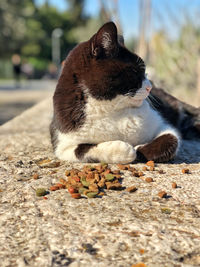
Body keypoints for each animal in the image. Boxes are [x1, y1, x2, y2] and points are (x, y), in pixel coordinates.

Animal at [49, 21, 182, 163]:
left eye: (145, 72)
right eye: (135, 71)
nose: (150, 87)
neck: (112, 110)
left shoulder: (162, 124)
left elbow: (171, 139)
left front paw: (139, 149)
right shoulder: (62, 145)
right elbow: (83, 149)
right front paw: (123, 149)